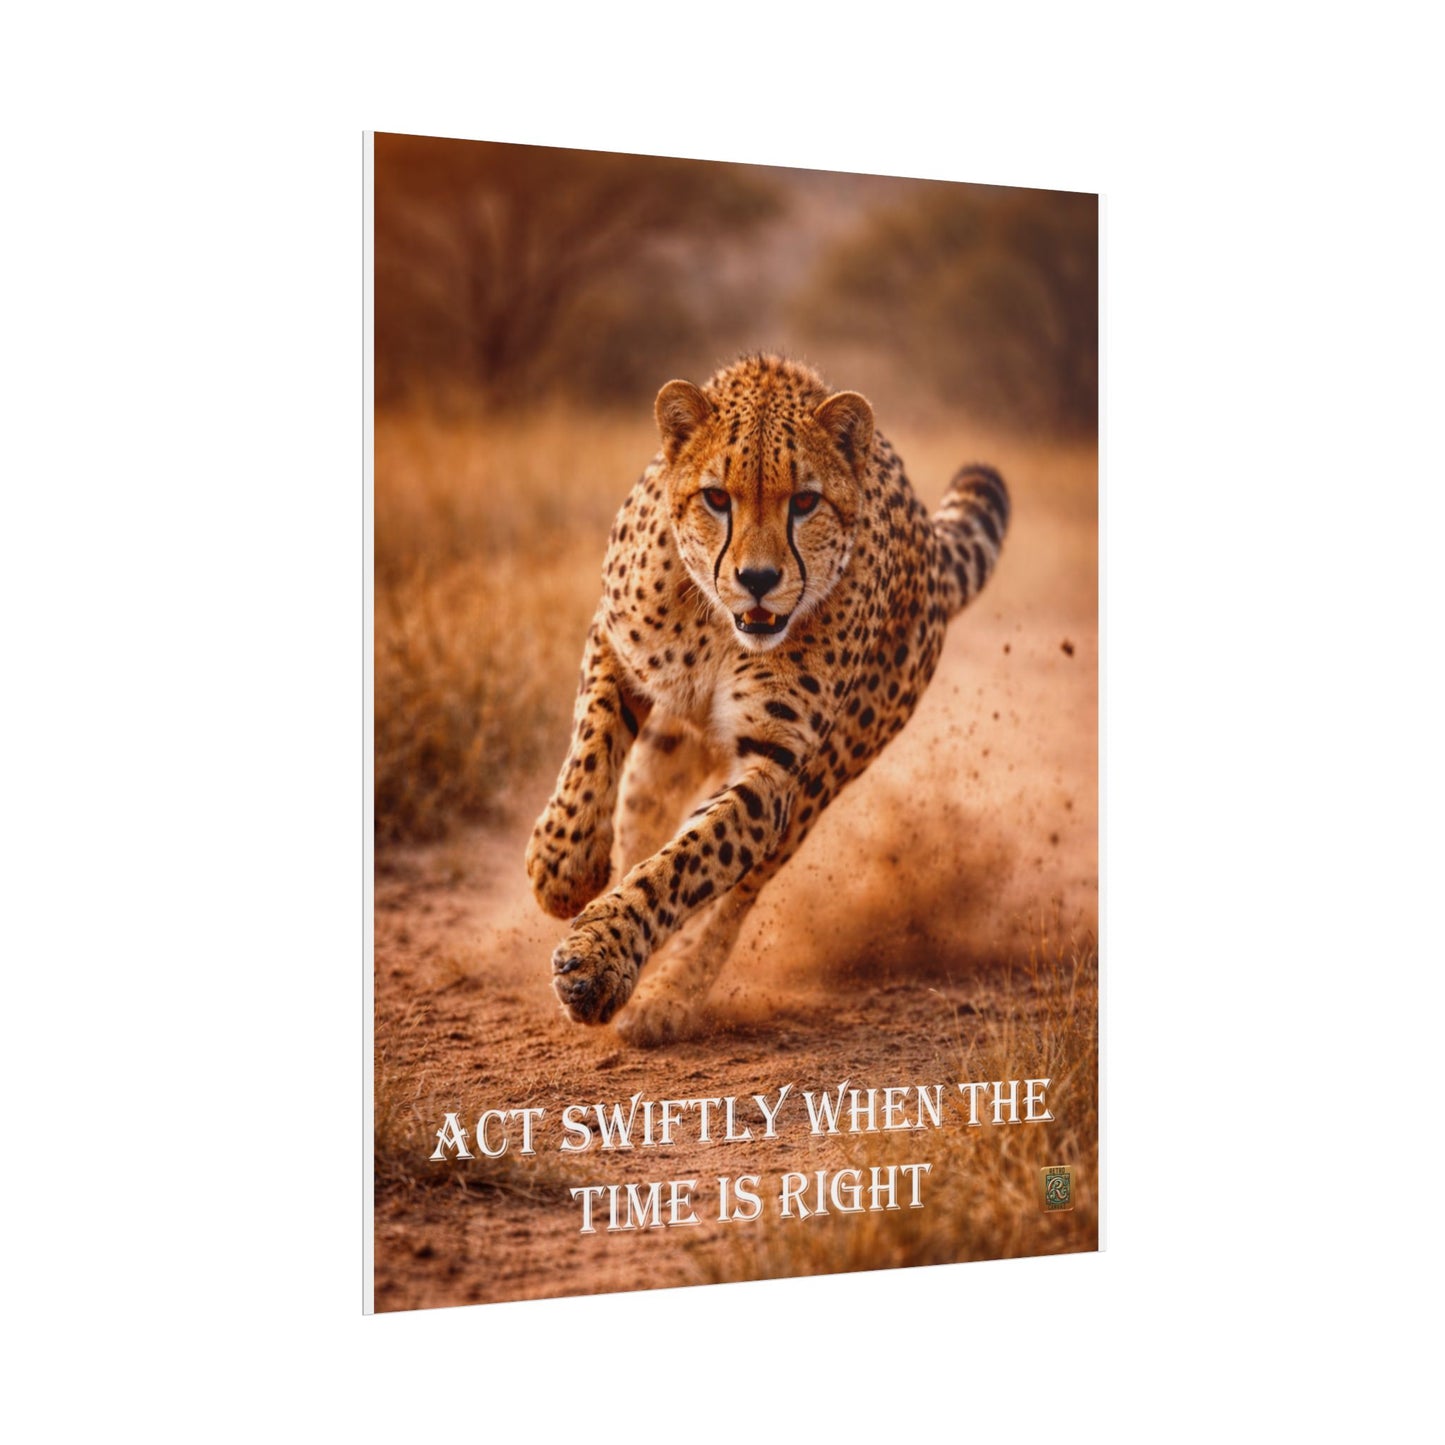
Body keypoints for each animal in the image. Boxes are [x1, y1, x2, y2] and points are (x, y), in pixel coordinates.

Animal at [524, 354, 1010, 1046]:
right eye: (716, 498)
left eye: (804, 501)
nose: (758, 580)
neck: (717, 625)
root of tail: (926, 535)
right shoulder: (615, 642)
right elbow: (589, 751)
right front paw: (563, 865)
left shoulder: (774, 766)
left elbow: (689, 862)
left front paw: (600, 957)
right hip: (668, 754)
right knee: (643, 817)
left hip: (826, 773)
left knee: (738, 892)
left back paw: (669, 994)